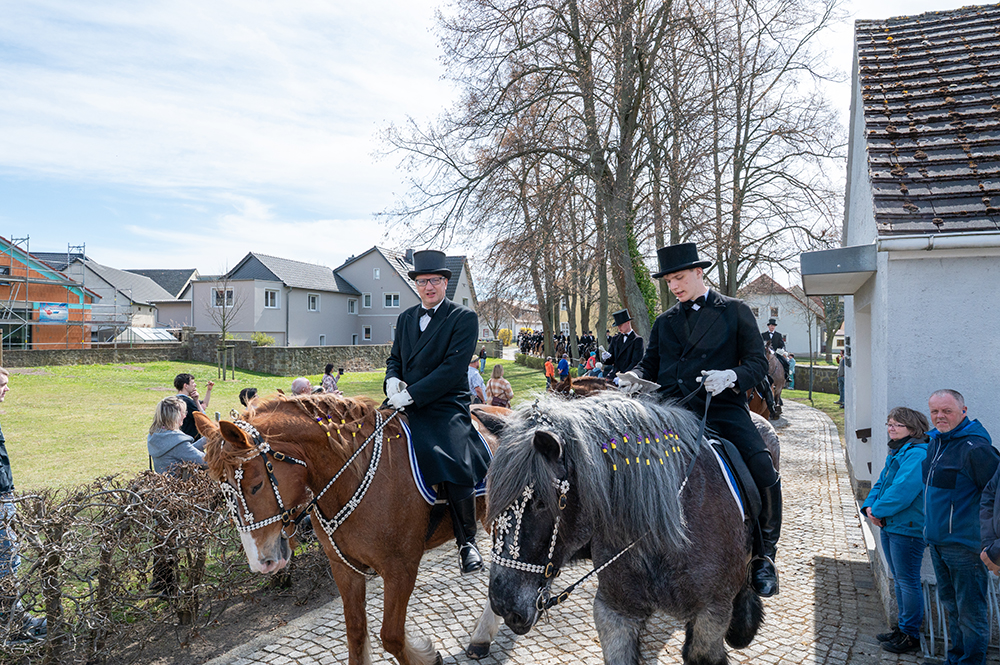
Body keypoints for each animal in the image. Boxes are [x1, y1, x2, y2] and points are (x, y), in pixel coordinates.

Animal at [195, 393, 502, 665]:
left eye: (256, 485)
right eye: (223, 493)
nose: (261, 562)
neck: (351, 477)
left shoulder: (401, 569)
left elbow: (391, 636)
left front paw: (426, 657)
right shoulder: (344, 568)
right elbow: (355, 632)